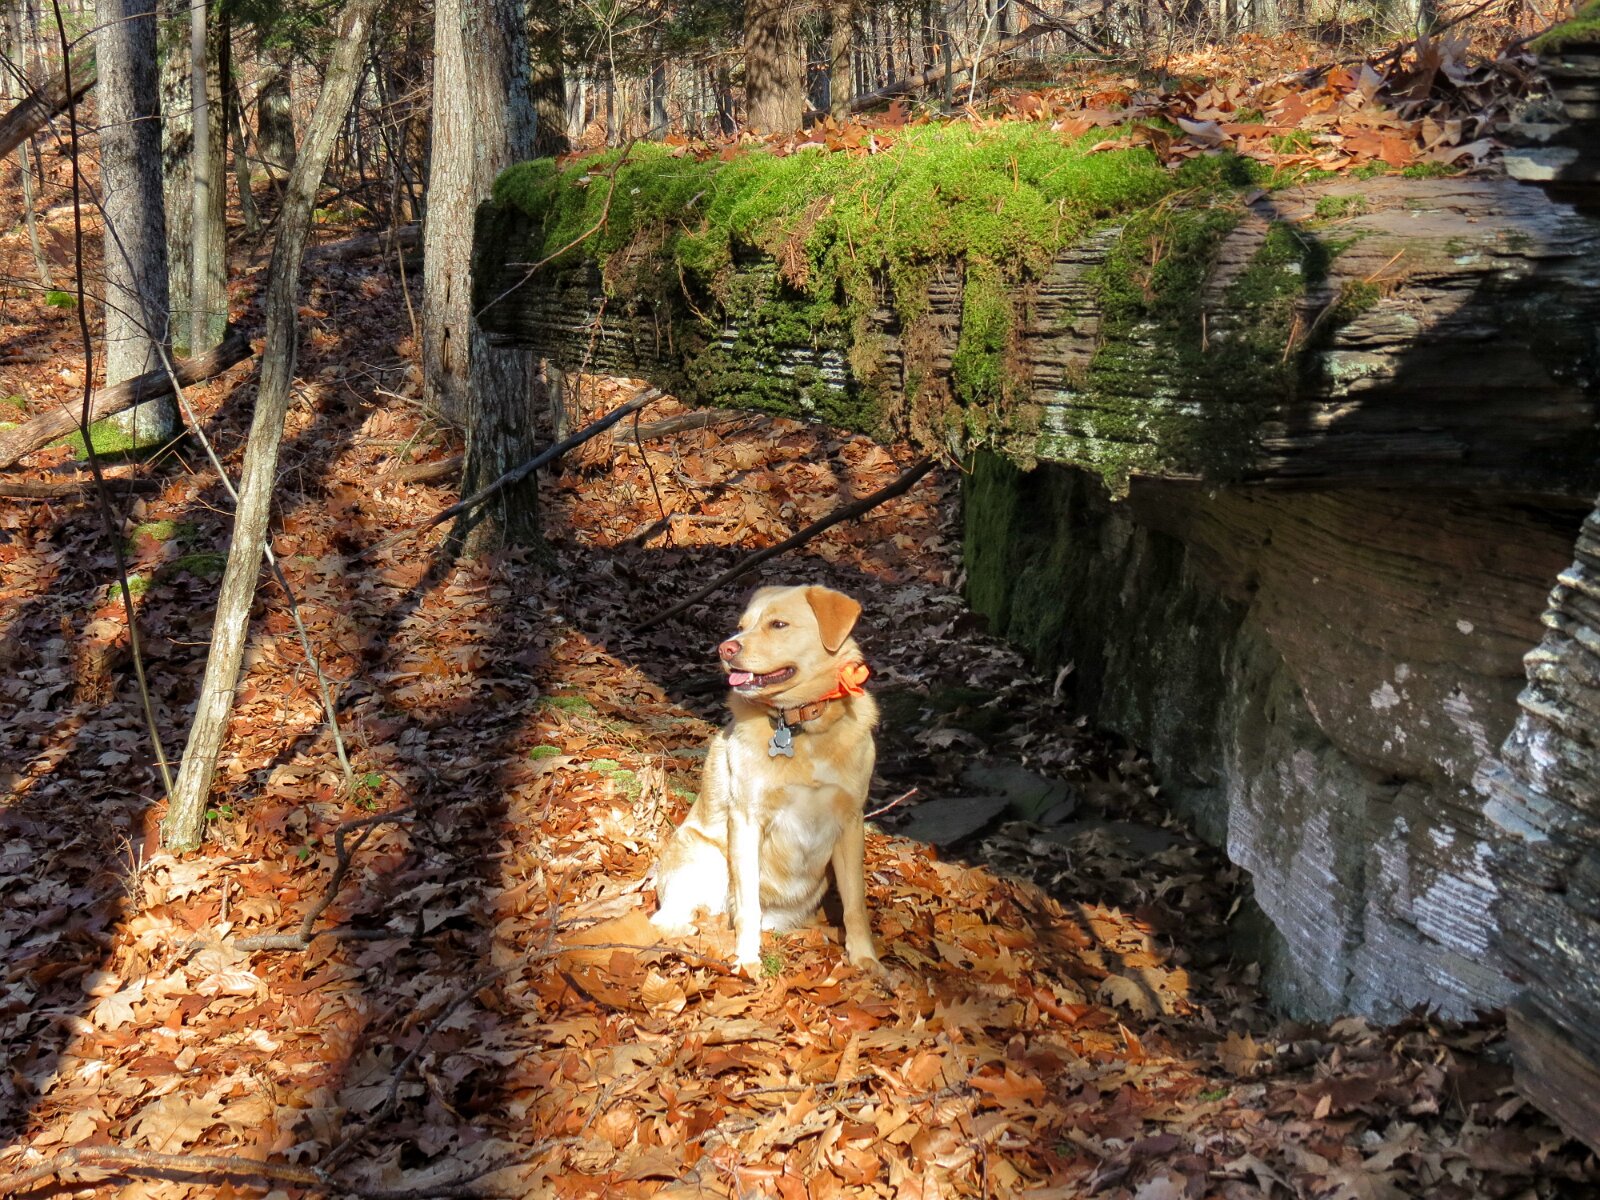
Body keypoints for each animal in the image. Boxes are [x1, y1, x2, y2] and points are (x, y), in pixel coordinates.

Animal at [653, 585, 880, 971]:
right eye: (741, 626)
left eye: (778, 624)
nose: (726, 649)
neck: (800, 726)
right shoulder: (747, 820)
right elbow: (748, 905)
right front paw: (747, 958)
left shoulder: (850, 821)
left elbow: (855, 905)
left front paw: (866, 958)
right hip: (707, 857)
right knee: (675, 917)